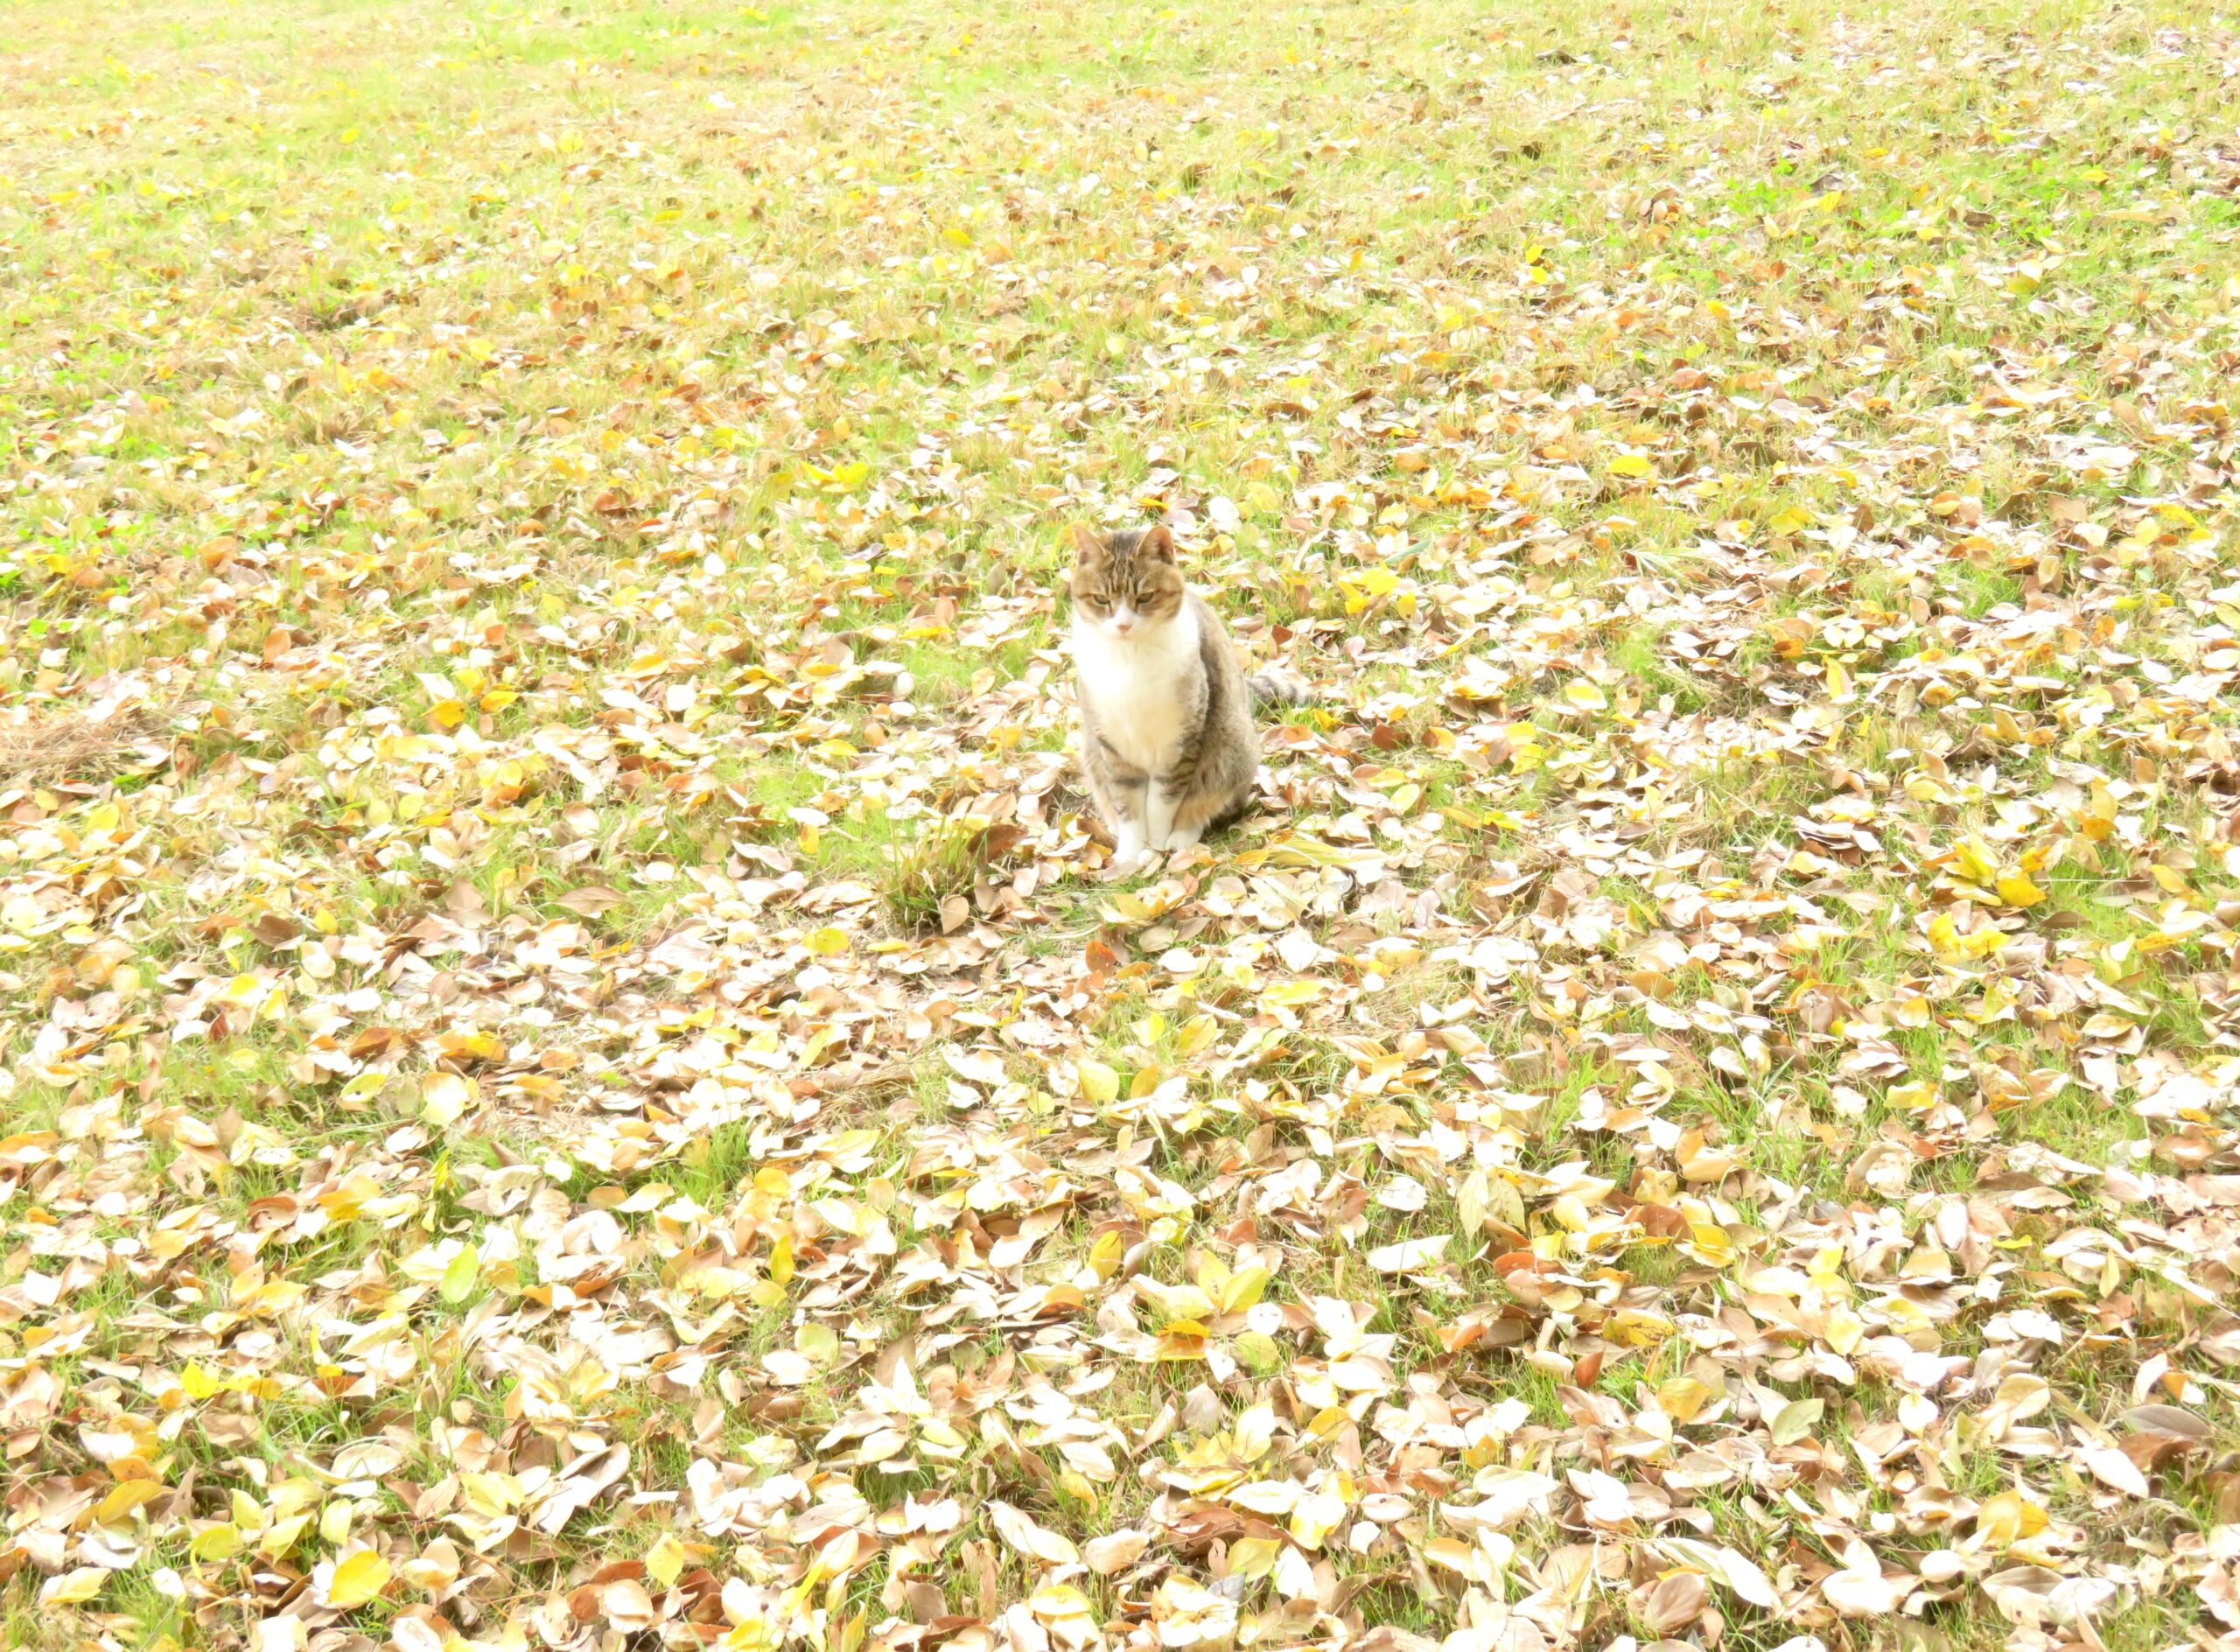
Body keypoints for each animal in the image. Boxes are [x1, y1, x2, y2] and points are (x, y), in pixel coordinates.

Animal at [1070, 523, 1308, 864]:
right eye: (1101, 599)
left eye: (1145, 596)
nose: (1123, 626)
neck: (1129, 656)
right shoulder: (1112, 745)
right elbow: (1127, 803)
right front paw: (1131, 852)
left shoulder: (1180, 741)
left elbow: (1162, 802)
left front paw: (1157, 844)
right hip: (1091, 752)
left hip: (1231, 750)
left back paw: (1183, 837)